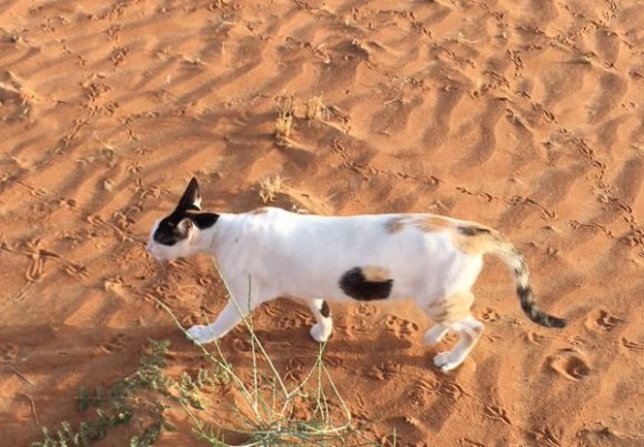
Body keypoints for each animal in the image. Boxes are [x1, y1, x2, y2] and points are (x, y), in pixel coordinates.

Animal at [145, 177, 564, 372]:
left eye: (162, 236)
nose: (146, 247)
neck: (225, 230)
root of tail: (468, 231)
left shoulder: (243, 294)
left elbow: (222, 321)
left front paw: (202, 335)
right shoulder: (310, 289)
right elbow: (322, 312)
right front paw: (323, 334)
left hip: (436, 297)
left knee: (475, 326)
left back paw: (449, 359)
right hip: (441, 297)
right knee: (464, 310)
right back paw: (434, 335)